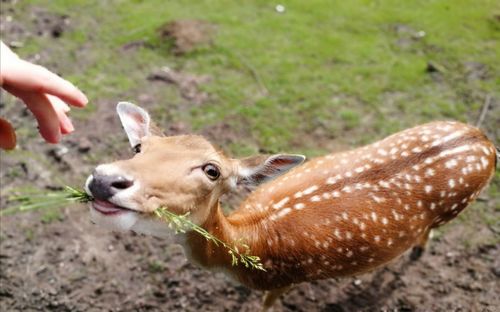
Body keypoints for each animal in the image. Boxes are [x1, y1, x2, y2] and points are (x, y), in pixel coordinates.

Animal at [84, 102, 498, 310]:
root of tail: (483, 139)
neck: (248, 243)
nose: (104, 180)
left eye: (212, 170)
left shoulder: (286, 280)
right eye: (139, 147)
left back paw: (416, 253)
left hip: (457, 206)